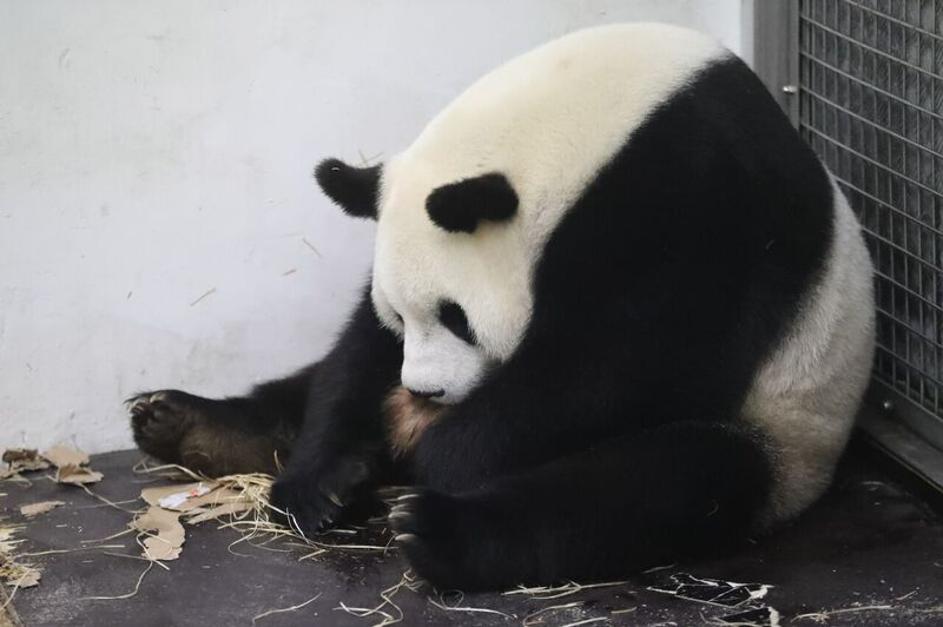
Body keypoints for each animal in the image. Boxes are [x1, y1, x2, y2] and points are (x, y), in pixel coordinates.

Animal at [128, 23, 876, 590]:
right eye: (401, 316)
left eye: (455, 315)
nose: (422, 391)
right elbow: (356, 354)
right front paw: (327, 476)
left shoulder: (704, 202)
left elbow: (622, 360)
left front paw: (443, 453)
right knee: (302, 387)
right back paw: (187, 423)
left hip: (783, 431)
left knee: (657, 485)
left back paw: (435, 530)